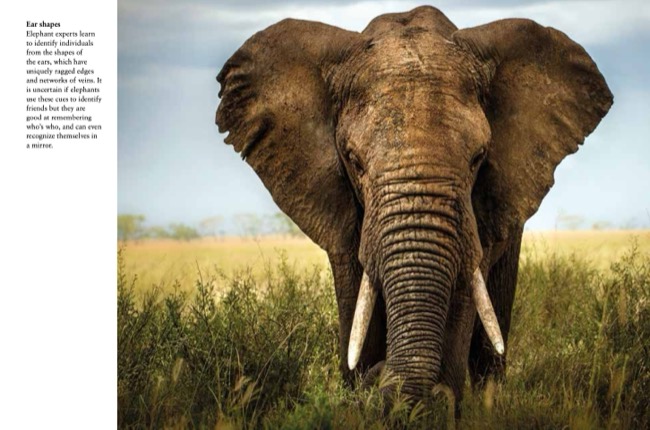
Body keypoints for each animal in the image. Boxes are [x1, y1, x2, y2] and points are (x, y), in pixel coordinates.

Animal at [215, 6, 612, 407]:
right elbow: (356, 299)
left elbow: (463, 294)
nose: (379, 378)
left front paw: (435, 404)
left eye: (478, 158)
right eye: (354, 161)